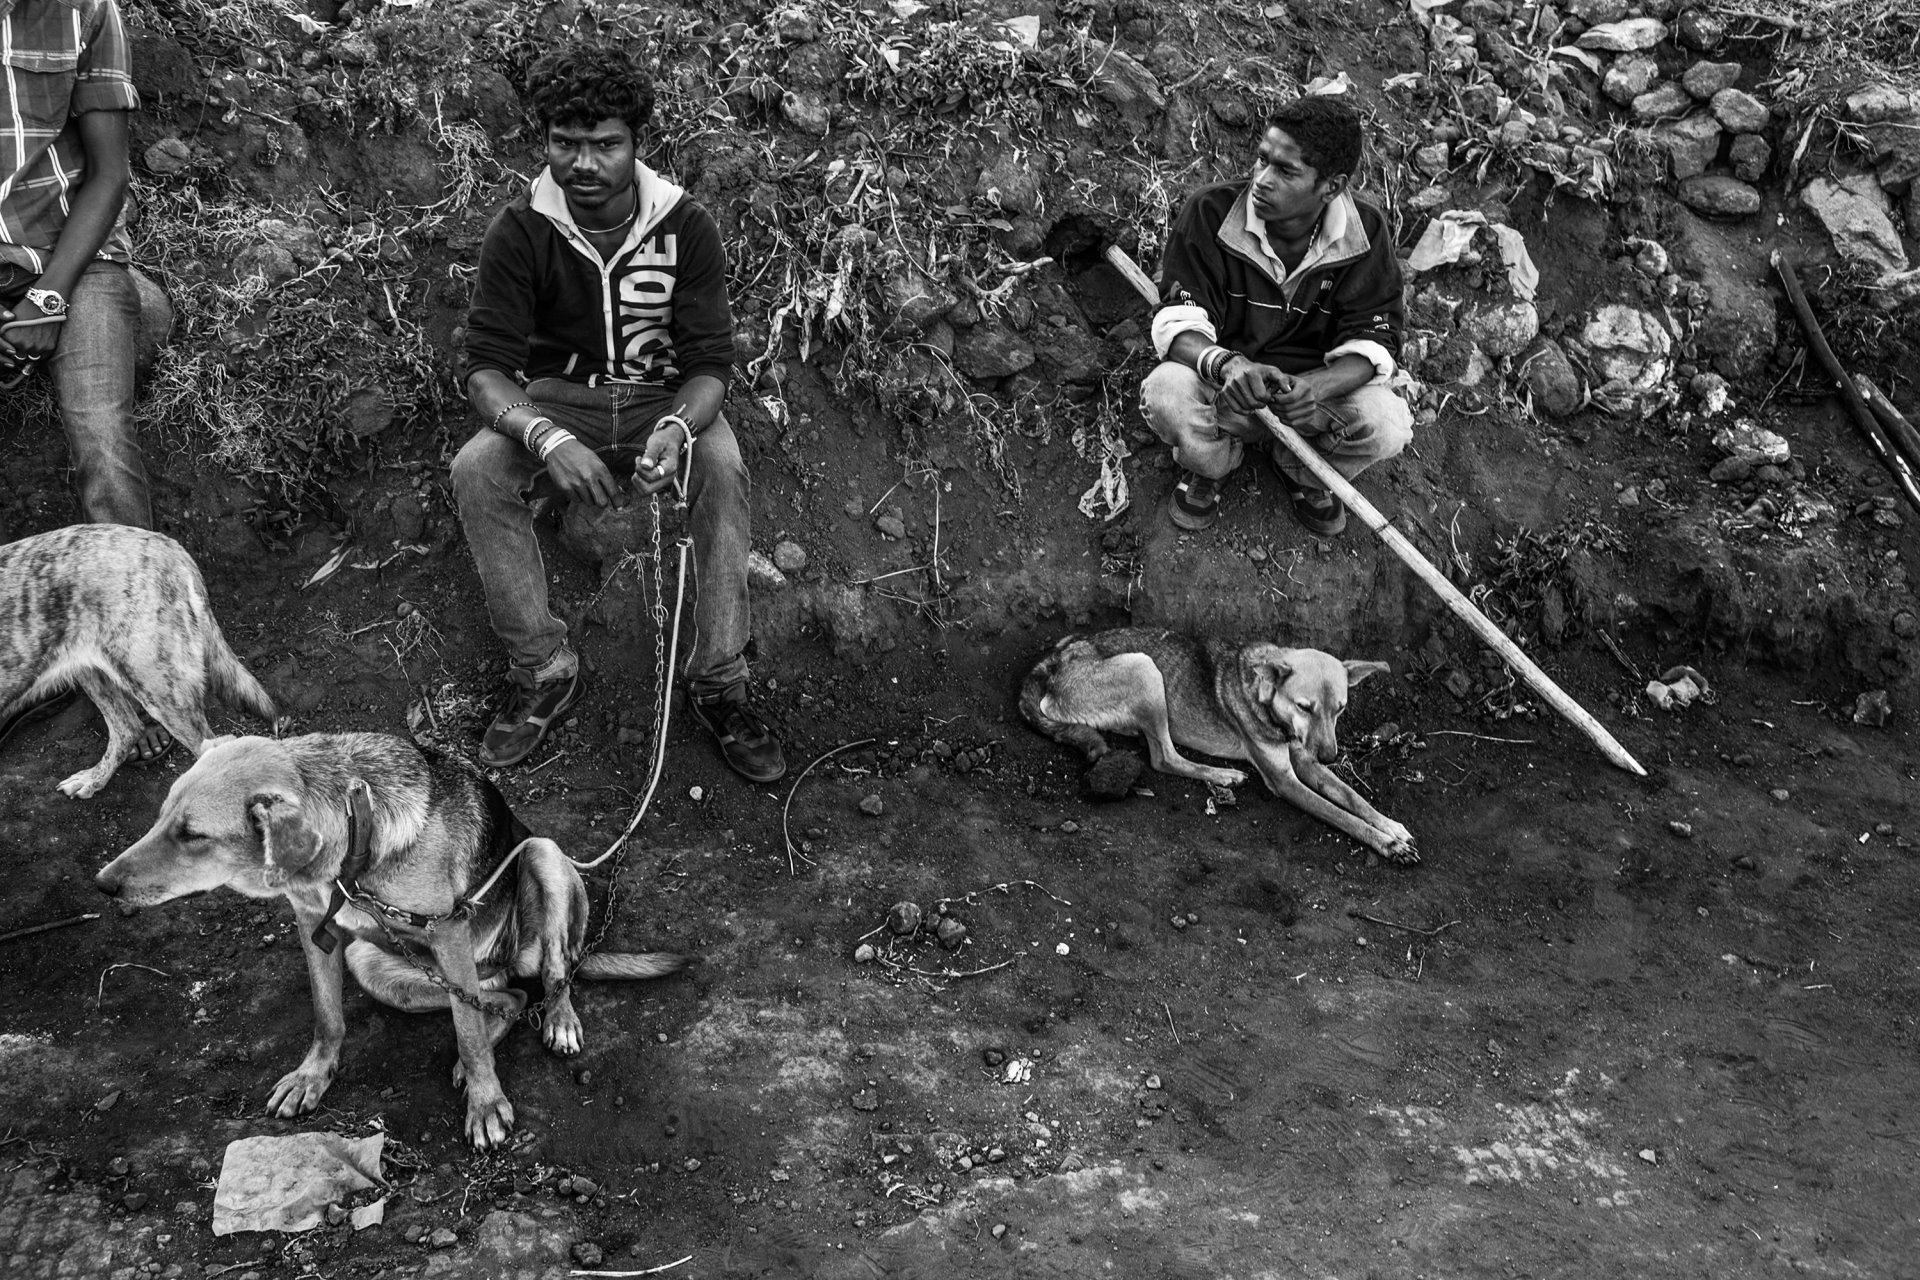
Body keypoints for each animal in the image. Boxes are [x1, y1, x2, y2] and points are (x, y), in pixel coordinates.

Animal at [93, 729, 691, 1151]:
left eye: (192, 834)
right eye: (162, 818)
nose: (103, 884)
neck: (358, 838)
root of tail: (505, 963)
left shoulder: (447, 930)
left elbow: (469, 1034)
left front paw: (486, 1104)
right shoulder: (314, 927)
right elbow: (327, 1017)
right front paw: (313, 1076)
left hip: (541, 855)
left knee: (552, 971)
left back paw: (558, 1020)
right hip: (375, 962)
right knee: (505, 997)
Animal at [1029, 629, 1420, 867]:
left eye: (1340, 708)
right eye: (1304, 707)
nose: (1330, 755)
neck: (1267, 699)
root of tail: (1048, 664)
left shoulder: (1303, 759)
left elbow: (1353, 797)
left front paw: (1391, 826)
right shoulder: (1285, 781)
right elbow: (1340, 815)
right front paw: (1388, 845)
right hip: (1145, 667)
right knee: (1163, 758)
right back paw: (1223, 775)